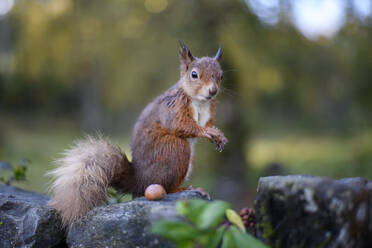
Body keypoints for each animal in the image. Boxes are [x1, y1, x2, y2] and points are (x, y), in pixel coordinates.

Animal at [48, 41, 228, 229]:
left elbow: (207, 123)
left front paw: (219, 135)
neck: (200, 101)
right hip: (175, 149)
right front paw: (207, 132)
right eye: (194, 74)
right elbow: (182, 125)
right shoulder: (173, 109)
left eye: (221, 76)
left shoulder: (208, 112)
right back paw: (186, 189)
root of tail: (139, 181)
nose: (213, 91)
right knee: (168, 187)